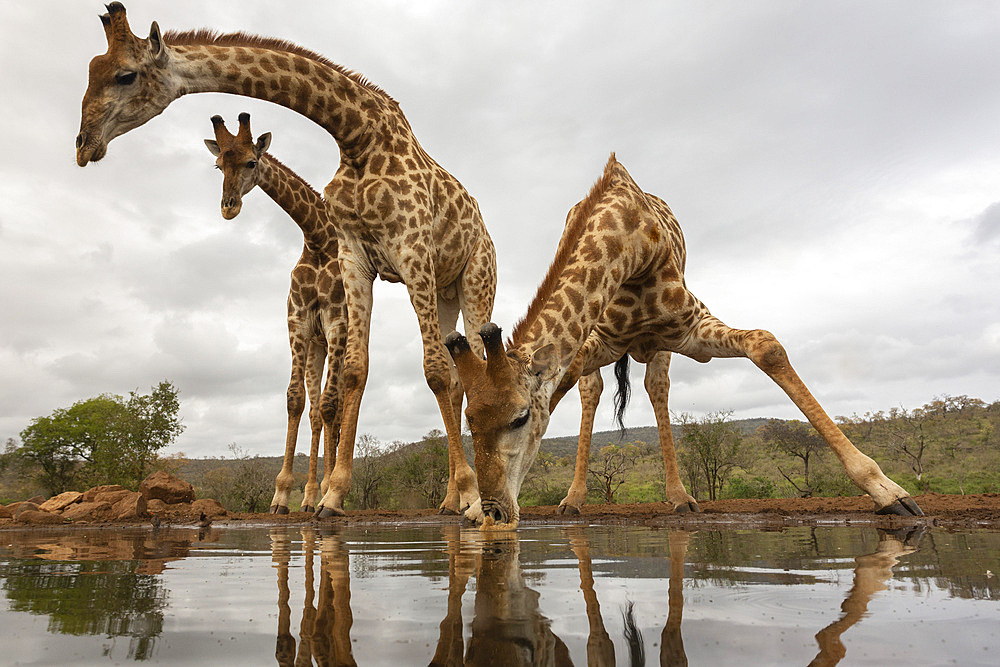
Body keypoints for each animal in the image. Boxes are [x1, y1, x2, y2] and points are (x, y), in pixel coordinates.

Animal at [203, 112, 348, 516]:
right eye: (218, 164)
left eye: (252, 162)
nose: (229, 206)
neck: (317, 240)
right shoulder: (297, 321)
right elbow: (294, 400)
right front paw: (282, 495)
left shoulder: (336, 320)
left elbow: (330, 405)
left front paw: (328, 494)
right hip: (317, 347)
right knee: (315, 413)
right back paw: (310, 496)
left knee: (336, 408)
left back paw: (327, 492)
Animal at [450, 154, 924, 528]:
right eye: (469, 420)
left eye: (520, 418)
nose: (494, 510)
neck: (633, 247)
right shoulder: (599, 339)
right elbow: (566, 386)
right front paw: (472, 509)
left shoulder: (691, 327)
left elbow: (765, 344)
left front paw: (889, 491)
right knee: (593, 390)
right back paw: (574, 499)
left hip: (660, 347)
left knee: (656, 387)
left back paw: (680, 498)